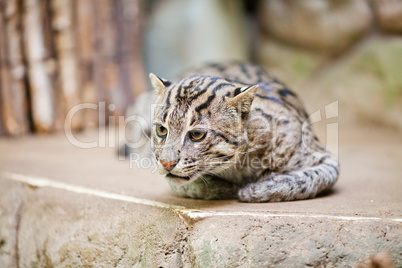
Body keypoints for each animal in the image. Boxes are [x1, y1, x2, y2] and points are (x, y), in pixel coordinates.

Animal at [123, 62, 340, 201]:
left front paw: (256, 190)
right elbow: (185, 185)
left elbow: (310, 178)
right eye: (161, 129)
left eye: (197, 135)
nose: (166, 163)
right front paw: (226, 189)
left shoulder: (325, 158)